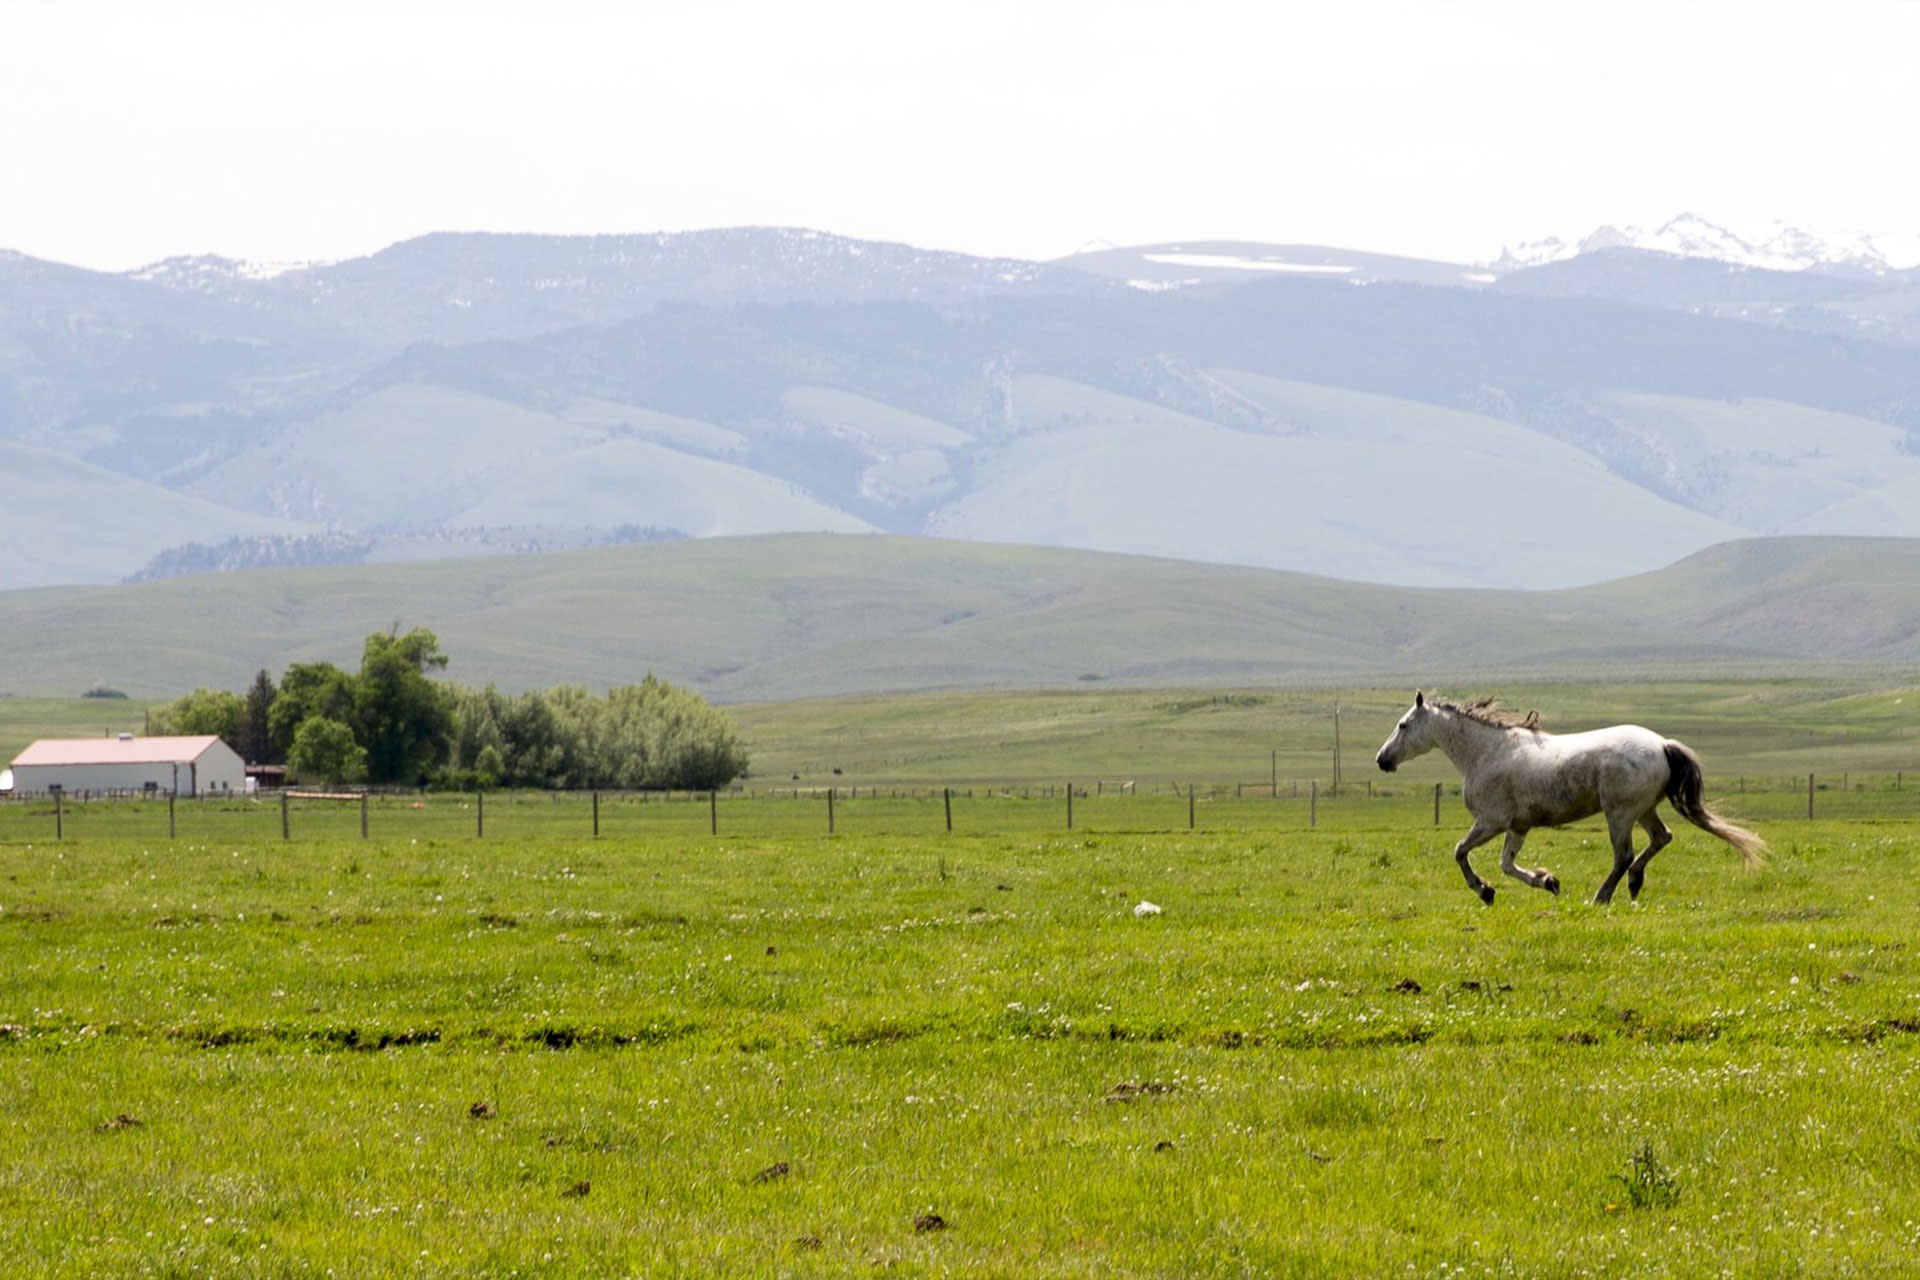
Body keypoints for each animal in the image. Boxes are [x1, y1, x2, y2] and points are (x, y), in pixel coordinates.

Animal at [1374, 692, 1765, 906]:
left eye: (1403, 725)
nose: (1382, 760)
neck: (1486, 753)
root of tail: (1662, 745)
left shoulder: (1490, 822)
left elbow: (1460, 851)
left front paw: (1484, 891)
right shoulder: (1518, 826)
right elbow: (1507, 865)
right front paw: (1548, 881)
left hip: (1619, 814)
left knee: (1623, 855)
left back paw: (1602, 896)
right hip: (1643, 810)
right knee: (1660, 838)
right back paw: (1634, 884)